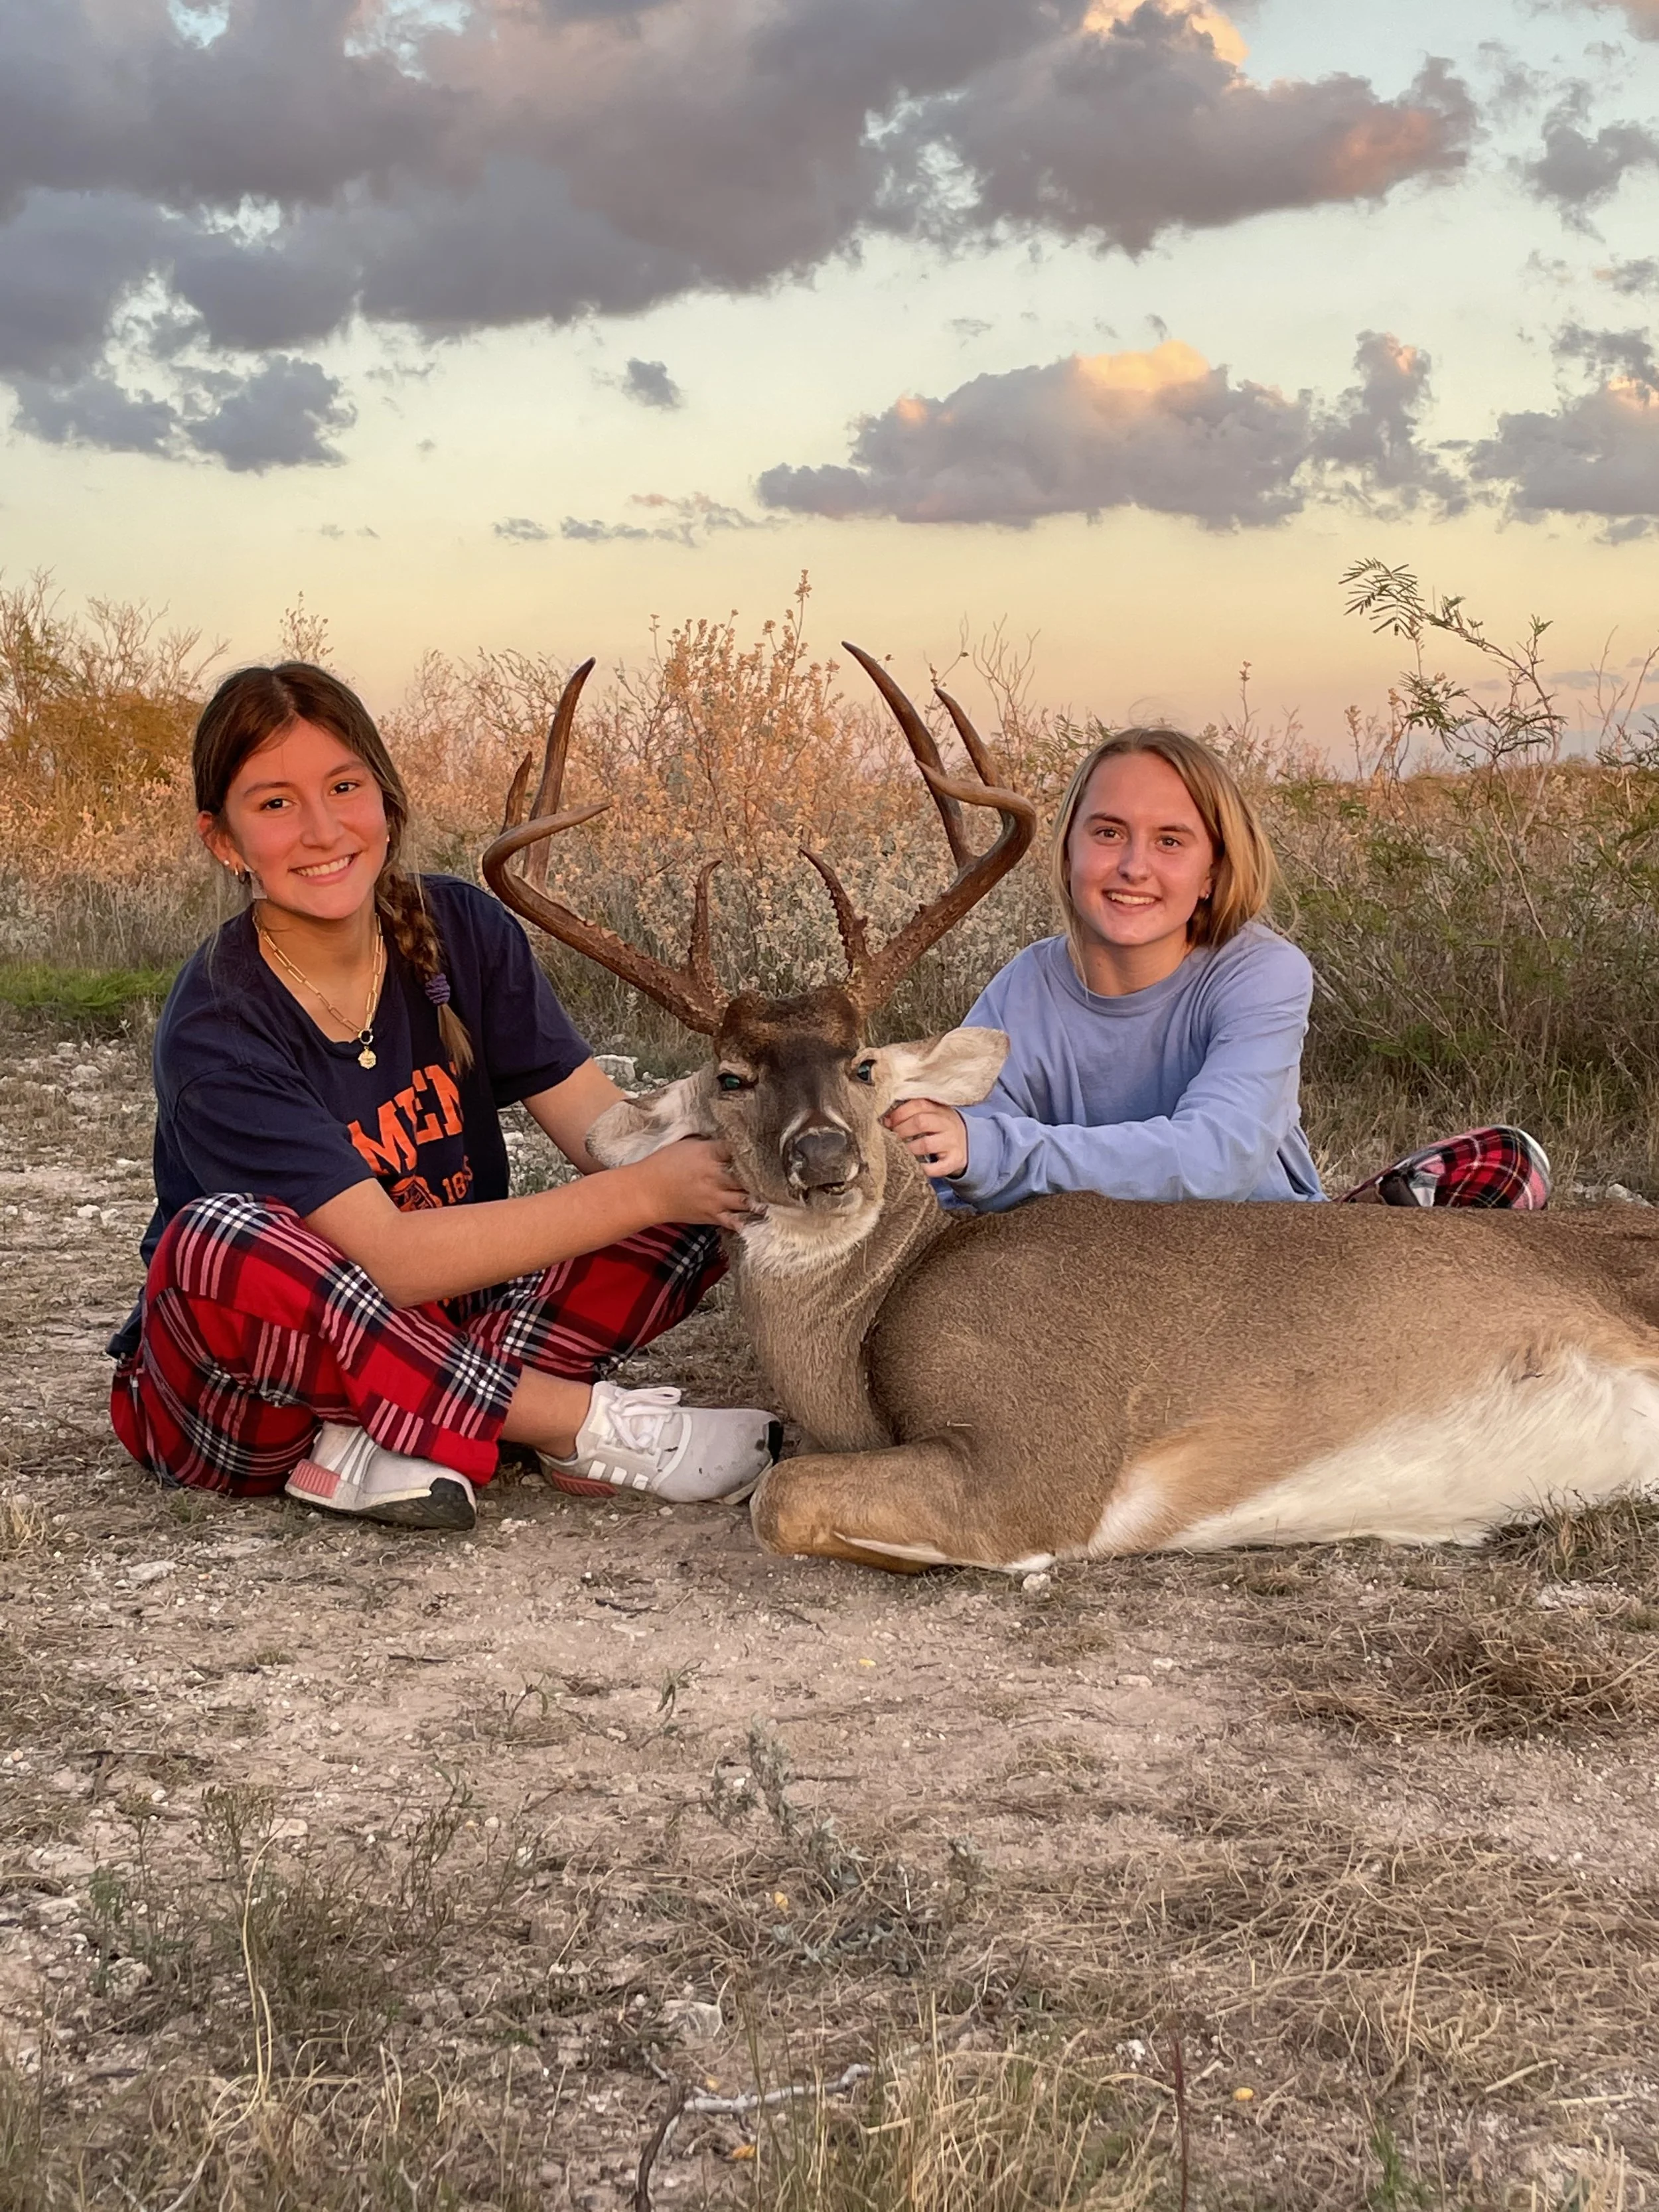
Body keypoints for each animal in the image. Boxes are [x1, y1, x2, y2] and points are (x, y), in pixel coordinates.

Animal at [482, 647, 1659, 1575]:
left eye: (863, 1064)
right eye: (730, 1078)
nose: (822, 1157)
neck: (874, 1317)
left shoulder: (1040, 1449)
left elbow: (786, 1496)